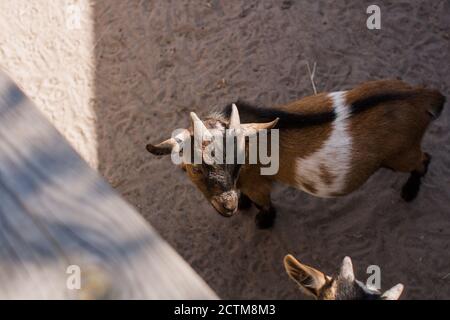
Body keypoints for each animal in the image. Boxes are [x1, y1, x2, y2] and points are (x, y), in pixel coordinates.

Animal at [149, 80, 446, 230]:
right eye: (195, 168)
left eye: (237, 162)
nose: (228, 206)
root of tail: (423, 97)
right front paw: (242, 205)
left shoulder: (258, 185)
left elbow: (265, 204)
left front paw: (262, 221)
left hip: (400, 155)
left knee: (424, 160)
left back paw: (410, 191)